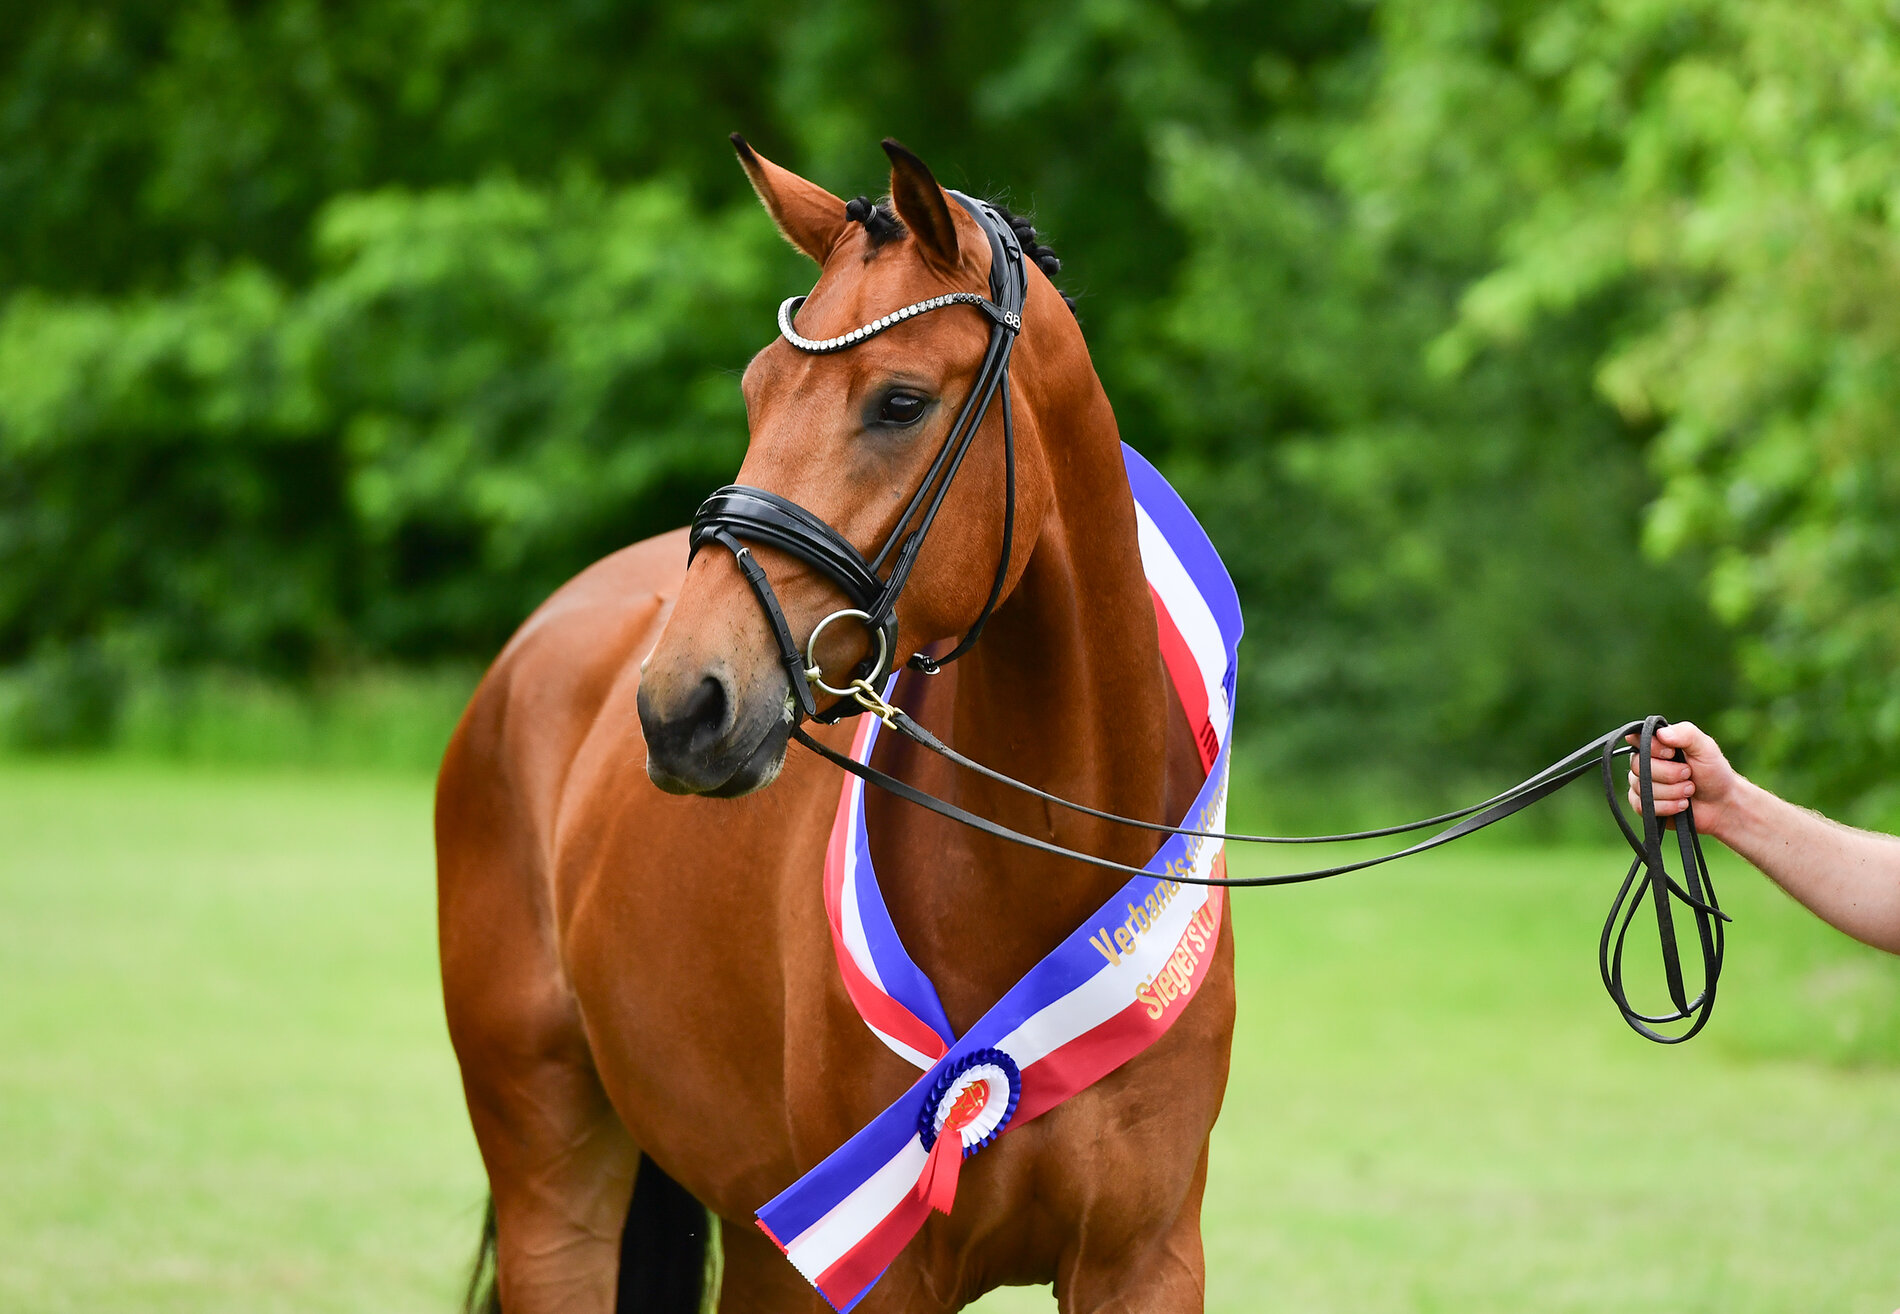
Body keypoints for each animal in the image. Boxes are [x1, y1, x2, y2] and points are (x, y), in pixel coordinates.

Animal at [436, 135, 1235, 1313]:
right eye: (756, 391)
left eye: (899, 402)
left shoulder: (1146, 1262)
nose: (682, 706)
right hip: (557, 1182)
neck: (1049, 878)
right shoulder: (863, 1272)